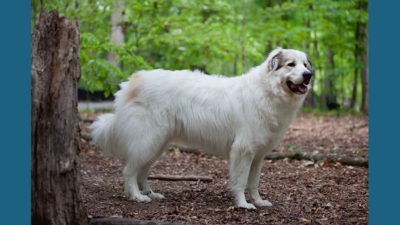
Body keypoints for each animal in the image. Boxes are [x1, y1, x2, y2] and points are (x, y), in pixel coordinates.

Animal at [90, 47, 312, 209]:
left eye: (305, 64)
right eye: (291, 64)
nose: (309, 75)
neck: (267, 91)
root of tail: (131, 82)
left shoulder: (258, 155)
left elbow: (253, 182)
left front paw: (258, 201)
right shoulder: (243, 151)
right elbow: (240, 181)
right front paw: (243, 205)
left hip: (157, 144)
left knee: (142, 171)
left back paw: (150, 193)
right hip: (148, 140)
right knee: (129, 171)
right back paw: (137, 196)